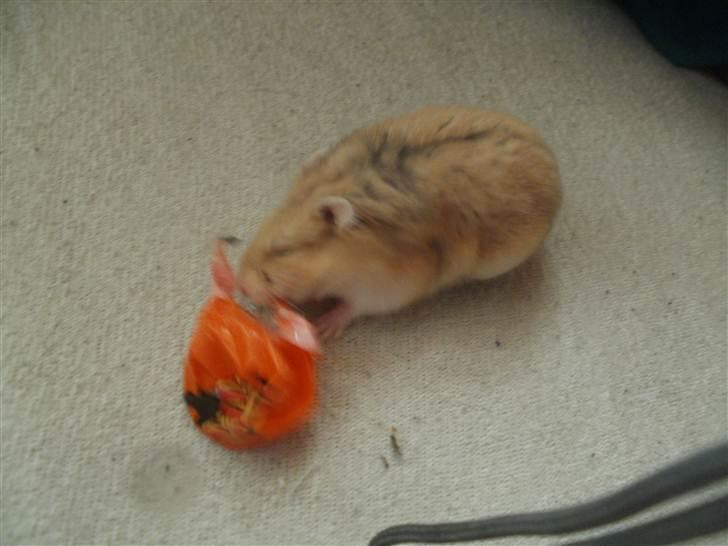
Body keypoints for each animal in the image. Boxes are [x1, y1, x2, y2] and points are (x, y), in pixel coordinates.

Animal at [239, 106, 561, 338]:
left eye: (283, 250)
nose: (241, 288)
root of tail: (551, 161)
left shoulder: (384, 288)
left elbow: (353, 306)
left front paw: (324, 327)